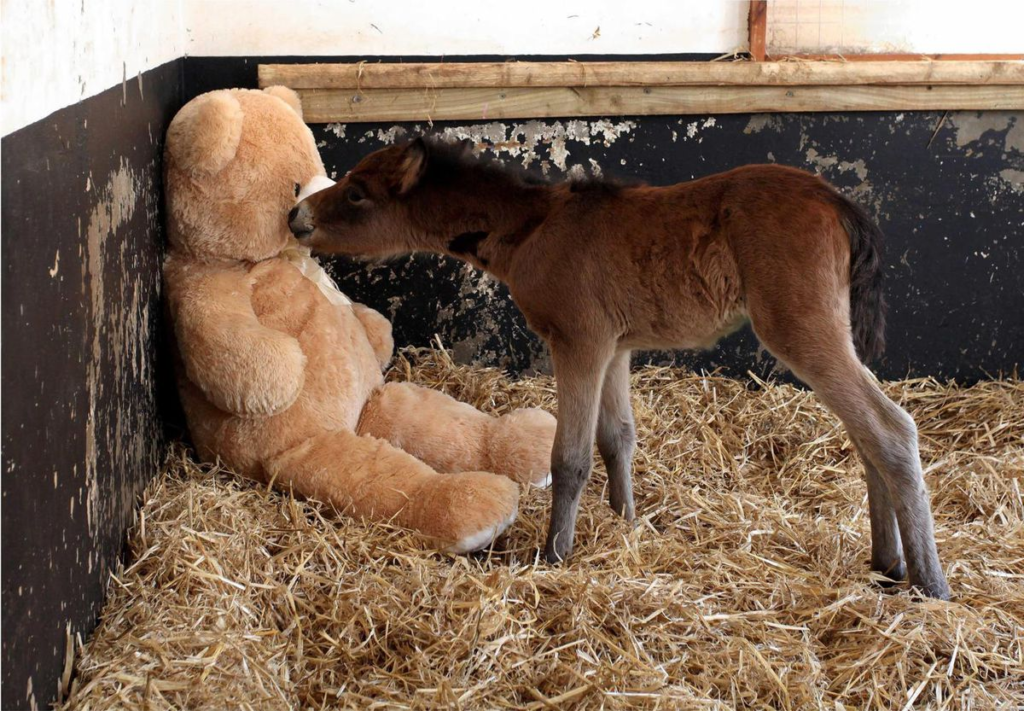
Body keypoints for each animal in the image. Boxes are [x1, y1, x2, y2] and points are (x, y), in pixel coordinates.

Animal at [289, 137, 950, 599]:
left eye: (357, 192)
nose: (296, 216)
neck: (532, 228)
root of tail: (839, 203)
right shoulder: (615, 345)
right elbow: (618, 437)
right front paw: (626, 523)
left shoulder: (578, 340)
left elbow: (571, 456)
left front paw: (555, 555)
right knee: (865, 435)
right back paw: (887, 564)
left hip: (801, 328)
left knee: (891, 428)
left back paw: (930, 584)